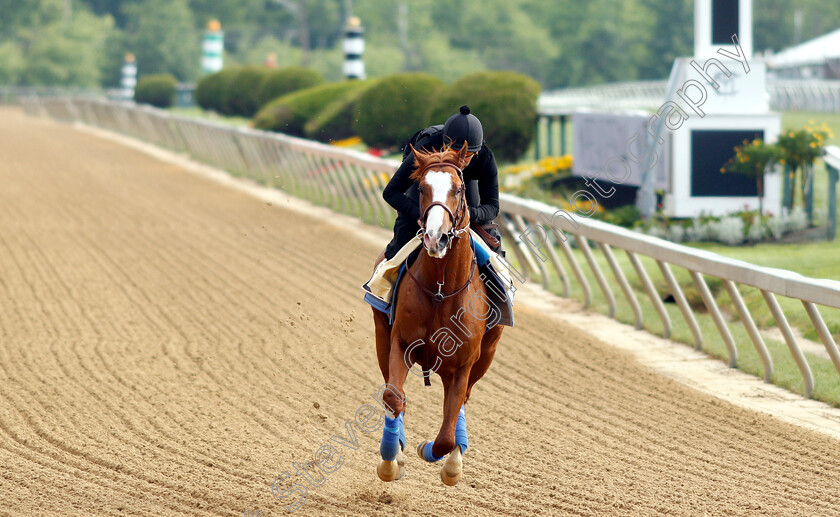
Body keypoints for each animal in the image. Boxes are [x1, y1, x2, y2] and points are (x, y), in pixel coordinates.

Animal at [370, 144, 502, 484]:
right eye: (421, 188)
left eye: (459, 189)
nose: (435, 237)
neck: (442, 290)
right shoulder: (401, 343)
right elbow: (394, 397)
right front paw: (391, 460)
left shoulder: (465, 363)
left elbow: (445, 435)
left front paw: (437, 455)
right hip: (381, 337)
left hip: (485, 354)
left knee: (461, 402)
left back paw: (455, 458)